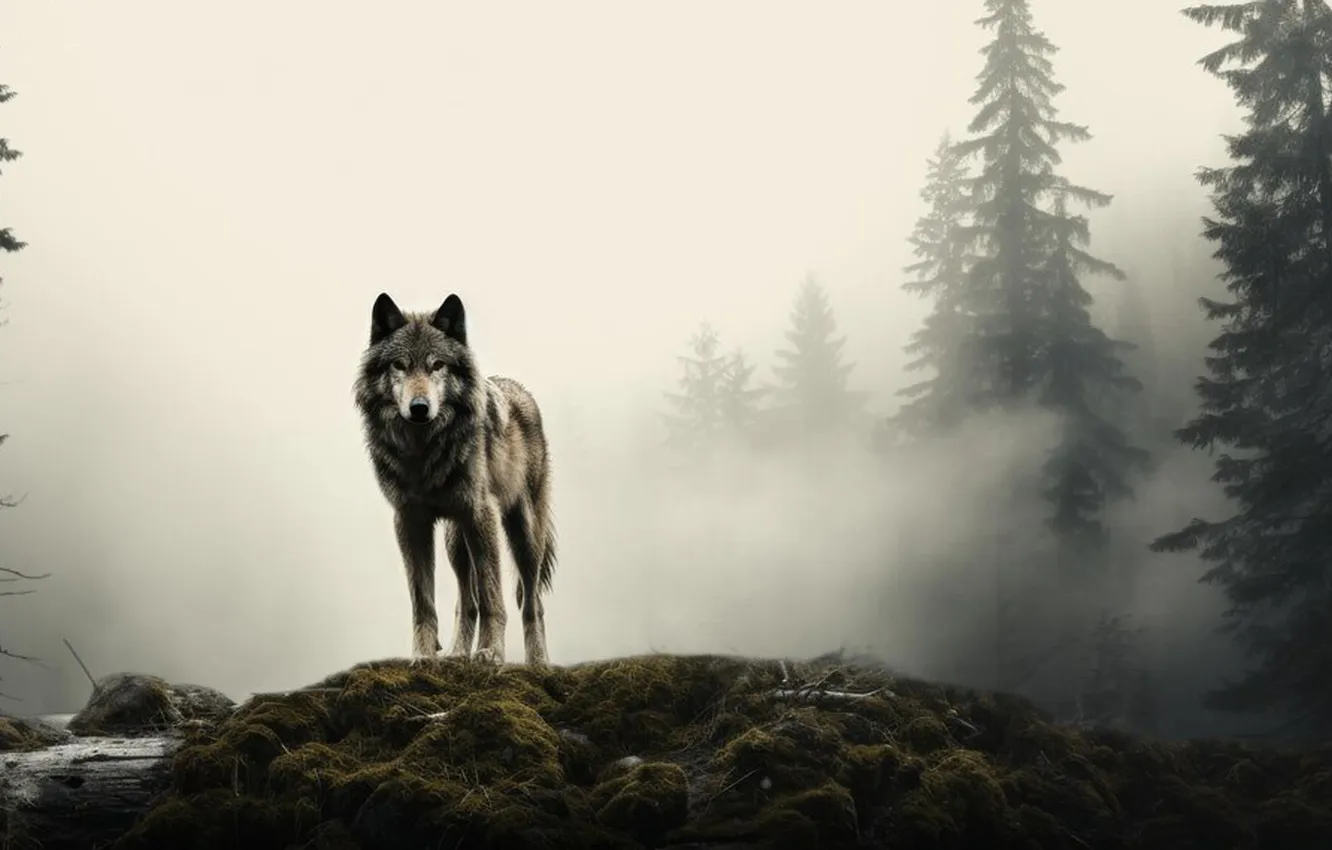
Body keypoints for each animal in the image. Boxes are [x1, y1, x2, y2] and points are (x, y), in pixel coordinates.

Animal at [353, 292, 556, 666]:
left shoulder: (481, 514)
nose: (419, 407)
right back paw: (459, 653)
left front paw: (491, 653)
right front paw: (423, 656)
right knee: (466, 601)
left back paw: (538, 663)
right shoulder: (409, 521)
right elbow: (423, 602)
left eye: (437, 365)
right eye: (399, 365)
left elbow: (493, 598)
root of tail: (518, 388)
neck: (422, 453)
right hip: (454, 543)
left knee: (531, 602)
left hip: (522, 537)